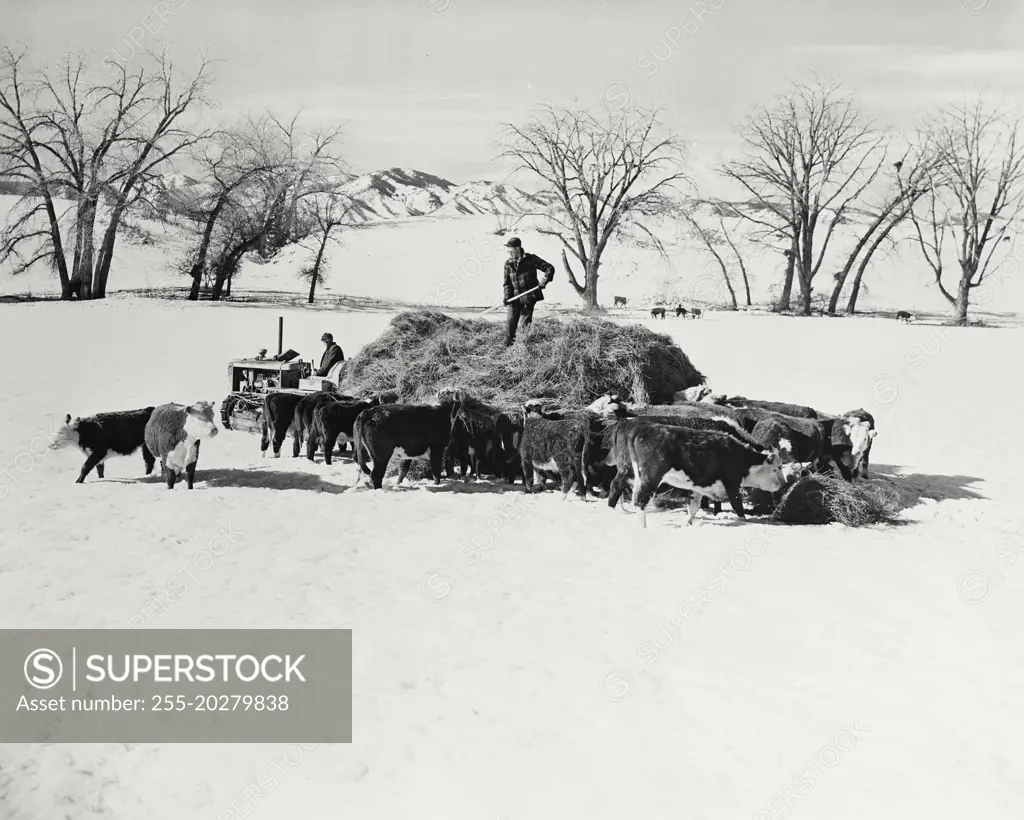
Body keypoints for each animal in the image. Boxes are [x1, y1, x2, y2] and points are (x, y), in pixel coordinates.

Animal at [602, 419, 786, 528]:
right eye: (777, 468)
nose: (784, 484)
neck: (741, 457)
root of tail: (640, 425)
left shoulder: (699, 485)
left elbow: (694, 506)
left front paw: (687, 523)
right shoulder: (731, 483)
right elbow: (738, 506)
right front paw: (743, 521)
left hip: (633, 473)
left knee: (621, 489)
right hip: (650, 476)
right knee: (639, 499)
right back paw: (643, 527)